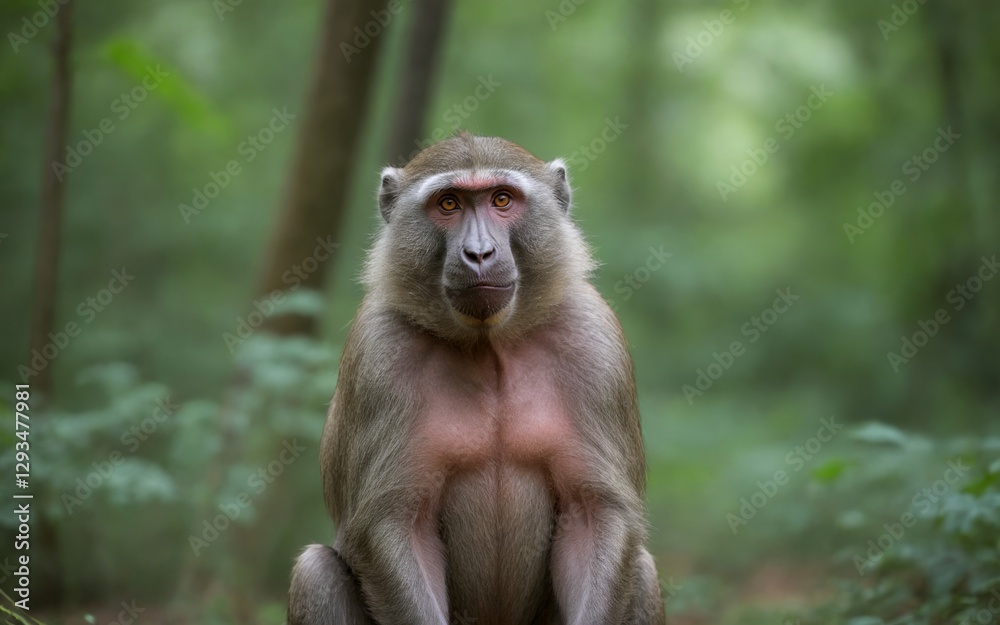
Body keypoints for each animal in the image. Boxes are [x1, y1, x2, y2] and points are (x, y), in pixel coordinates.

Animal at [288, 132, 665, 625]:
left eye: (501, 199)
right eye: (448, 203)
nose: (480, 253)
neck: (489, 346)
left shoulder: (594, 341)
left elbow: (596, 513)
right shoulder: (378, 353)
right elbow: (394, 524)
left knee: (643, 569)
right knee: (315, 571)